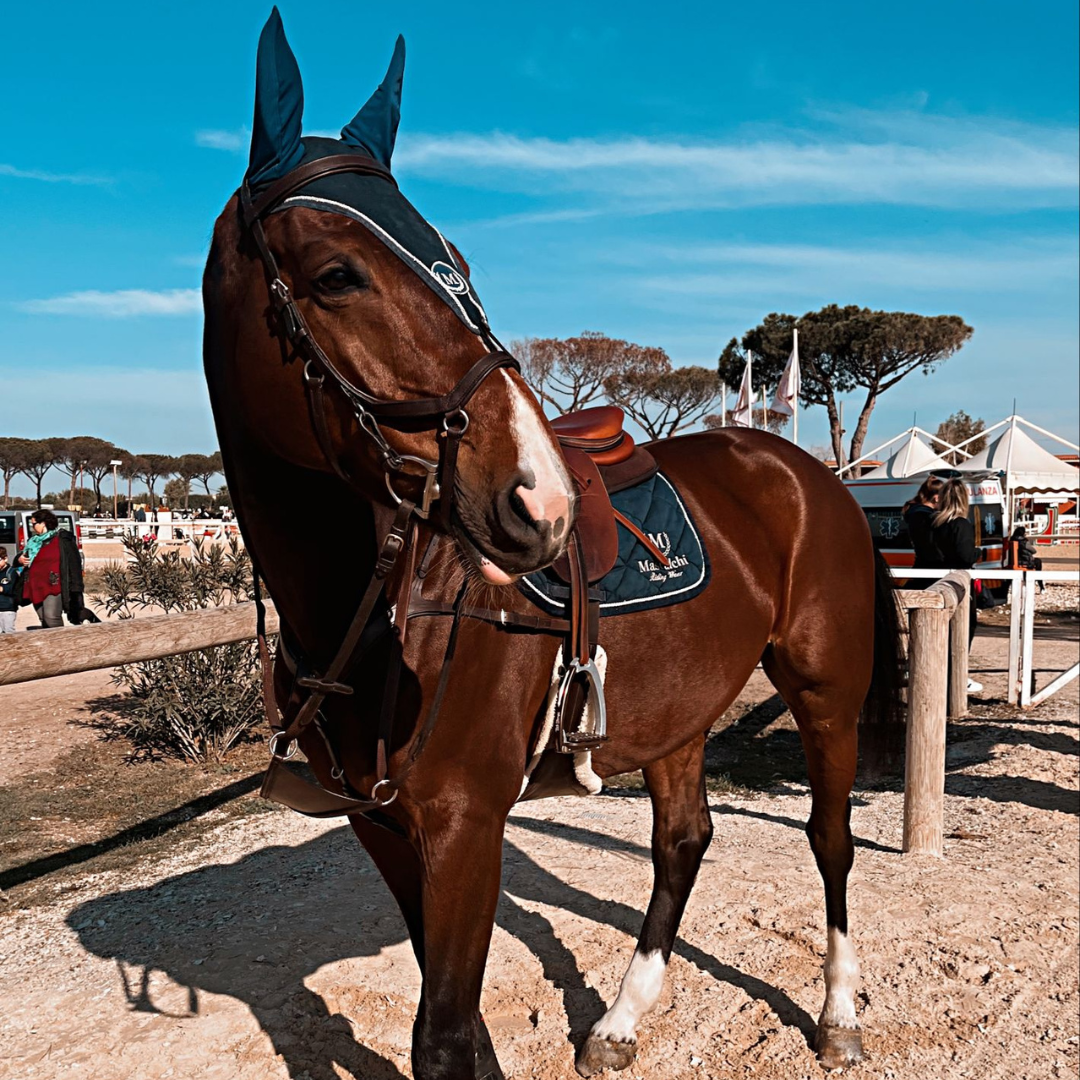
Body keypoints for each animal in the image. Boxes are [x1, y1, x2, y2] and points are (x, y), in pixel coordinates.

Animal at [200, 12, 902, 1075]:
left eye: (457, 261)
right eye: (335, 275)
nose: (541, 495)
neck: (380, 618)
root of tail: (805, 471)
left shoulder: (464, 827)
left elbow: (444, 1035)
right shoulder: (390, 832)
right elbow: (458, 1028)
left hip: (825, 689)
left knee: (829, 838)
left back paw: (839, 1011)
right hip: (681, 710)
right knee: (682, 840)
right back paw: (620, 1018)